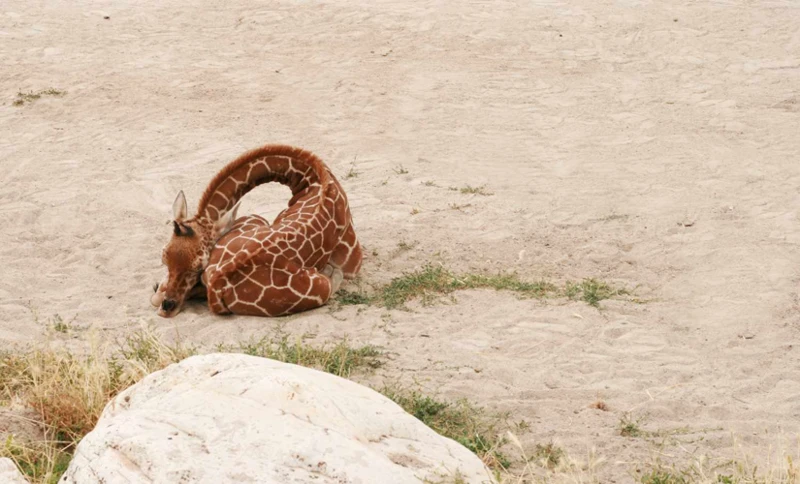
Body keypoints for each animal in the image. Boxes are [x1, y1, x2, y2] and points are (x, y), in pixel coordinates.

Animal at [149, 144, 362, 318]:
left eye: (199, 266)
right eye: (164, 258)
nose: (168, 307)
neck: (314, 180)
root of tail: (220, 282)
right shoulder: (353, 260)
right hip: (318, 286)